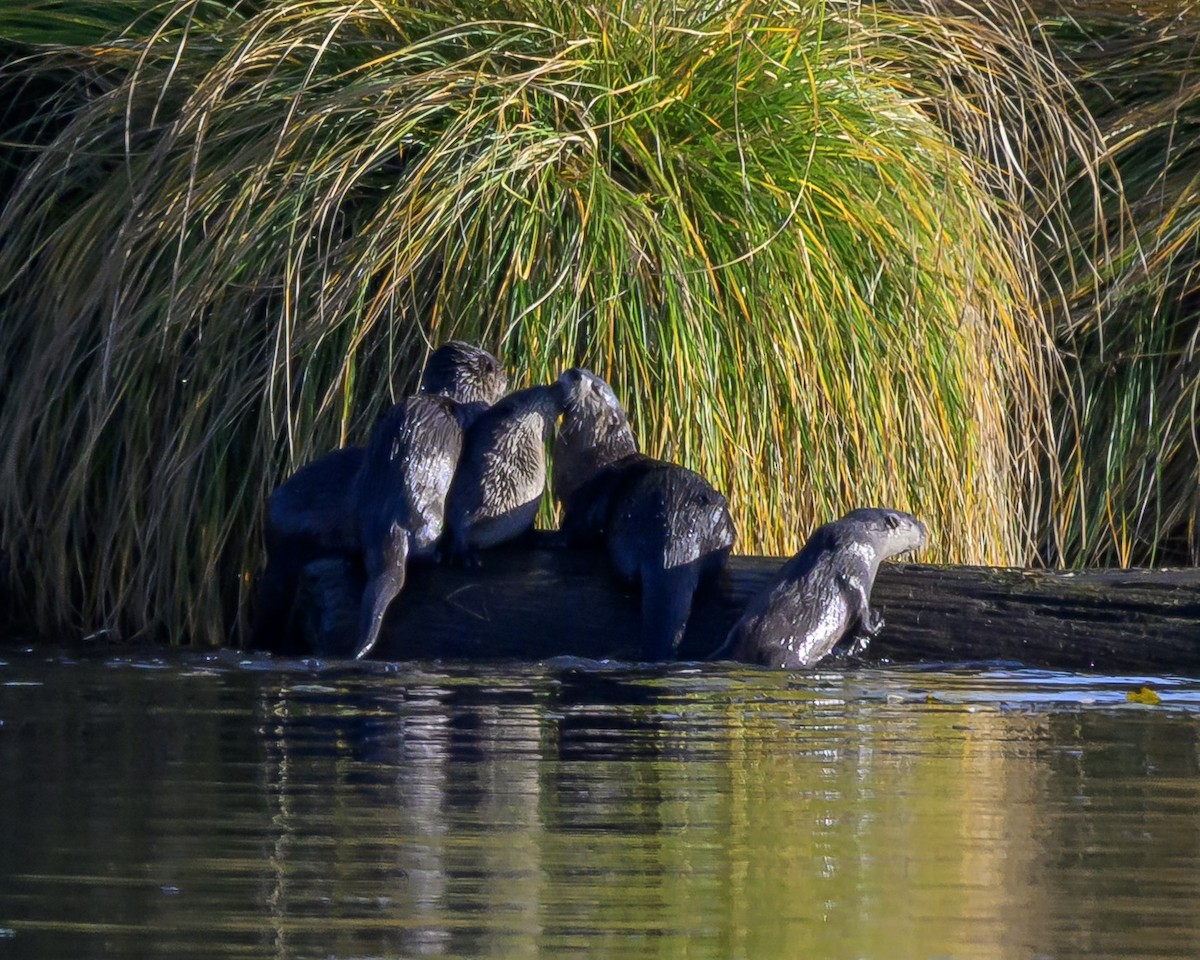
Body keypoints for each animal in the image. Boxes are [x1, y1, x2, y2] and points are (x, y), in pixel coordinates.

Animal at [253, 341, 506, 653]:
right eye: (496, 368)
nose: (507, 376)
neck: (453, 396)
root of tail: (388, 523)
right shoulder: (475, 413)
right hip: (428, 510)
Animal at [442, 383, 566, 567]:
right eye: (546, 390)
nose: (558, 384)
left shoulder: (526, 517)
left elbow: (529, 531)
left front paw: (544, 538)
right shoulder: (462, 498)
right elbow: (458, 528)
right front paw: (466, 556)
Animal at [553, 368, 736, 661]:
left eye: (595, 388)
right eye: (589, 374)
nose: (574, 372)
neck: (595, 459)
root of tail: (680, 528)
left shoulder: (590, 495)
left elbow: (575, 528)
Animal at [711, 507, 928, 669]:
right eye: (912, 520)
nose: (925, 530)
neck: (859, 540)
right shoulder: (856, 574)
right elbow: (863, 615)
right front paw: (877, 622)